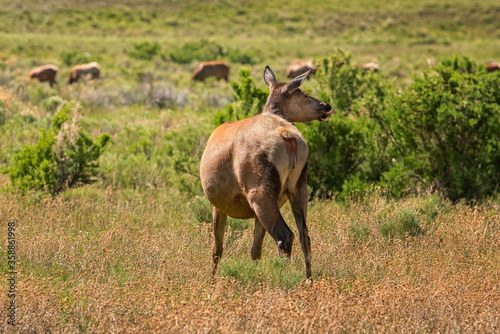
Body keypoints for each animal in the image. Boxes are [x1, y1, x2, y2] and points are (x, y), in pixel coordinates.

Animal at [198, 65, 332, 280]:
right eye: (303, 93)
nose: (326, 106)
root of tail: (287, 136)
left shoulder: (218, 205)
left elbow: (217, 249)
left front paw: (212, 281)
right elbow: (255, 250)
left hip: (259, 192)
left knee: (285, 236)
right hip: (298, 187)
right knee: (304, 235)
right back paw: (308, 280)